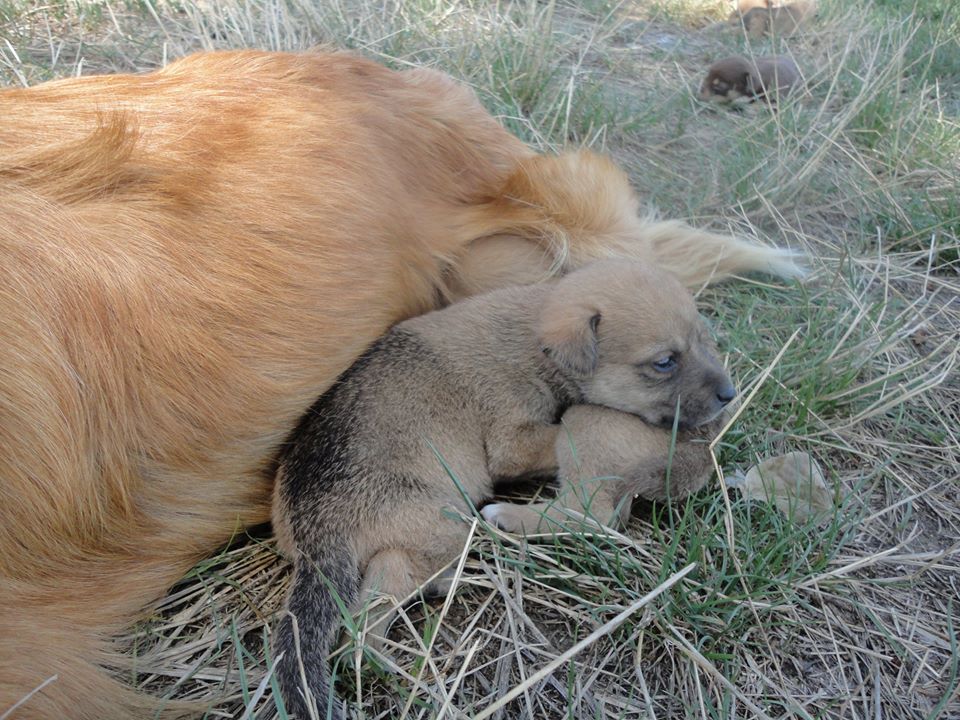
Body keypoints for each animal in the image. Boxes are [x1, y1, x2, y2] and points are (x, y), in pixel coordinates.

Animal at [271, 260, 735, 718]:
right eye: (664, 362)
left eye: (703, 339)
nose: (730, 396)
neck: (533, 335)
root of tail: (317, 537)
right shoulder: (514, 441)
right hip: (534, 460)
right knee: (589, 513)